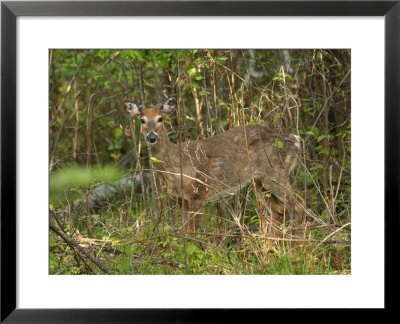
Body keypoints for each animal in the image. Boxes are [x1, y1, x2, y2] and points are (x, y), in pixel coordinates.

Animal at [123, 95, 304, 235]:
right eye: (142, 120)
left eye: (160, 118)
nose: (152, 137)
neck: (175, 167)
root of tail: (295, 139)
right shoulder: (182, 200)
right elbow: (183, 233)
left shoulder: (198, 194)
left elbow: (193, 234)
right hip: (260, 182)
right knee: (279, 212)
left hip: (275, 172)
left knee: (298, 206)